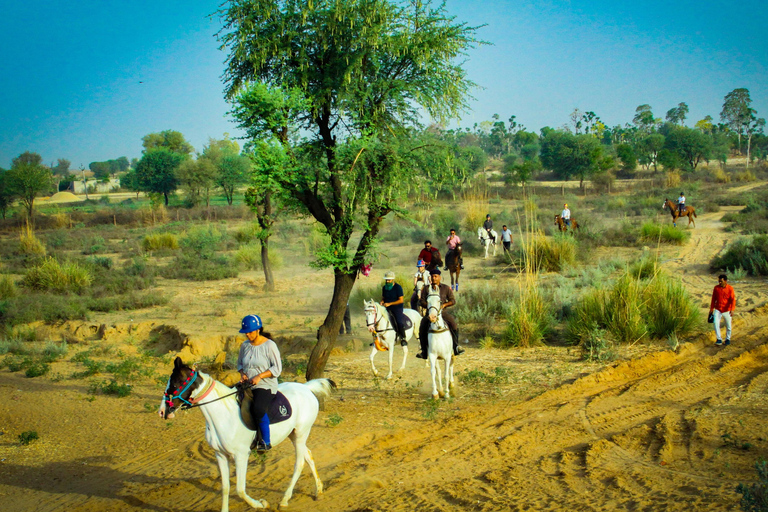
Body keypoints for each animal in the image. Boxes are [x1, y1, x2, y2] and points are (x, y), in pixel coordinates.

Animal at [158, 356, 334, 512]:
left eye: (175, 383)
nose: (162, 411)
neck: (223, 415)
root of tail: (306, 389)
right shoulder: (220, 455)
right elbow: (225, 487)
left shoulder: (241, 455)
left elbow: (240, 490)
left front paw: (262, 504)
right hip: (294, 435)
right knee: (308, 455)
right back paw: (319, 491)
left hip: (300, 434)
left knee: (300, 463)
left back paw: (284, 500)